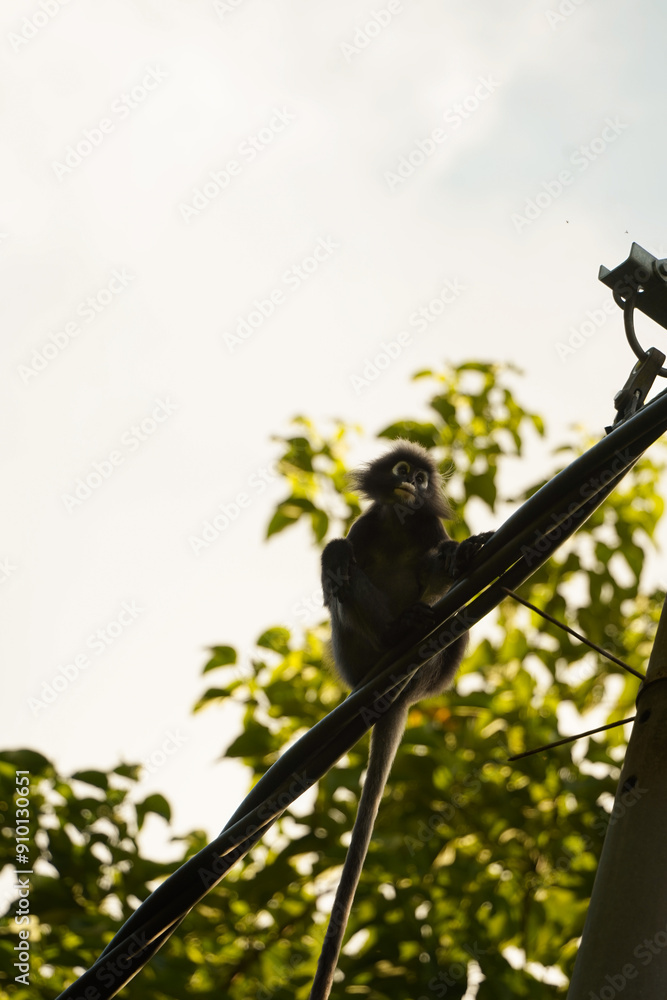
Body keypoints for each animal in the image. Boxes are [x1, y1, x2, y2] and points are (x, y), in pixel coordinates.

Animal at [309, 440, 492, 1000]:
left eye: (422, 477)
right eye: (401, 470)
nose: (411, 482)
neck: (397, 524)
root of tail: (402, 694)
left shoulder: (427, 528)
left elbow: (436, 566)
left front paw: (457, 555)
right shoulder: (367, 526)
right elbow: (344, 557)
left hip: (435, 673)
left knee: (449, 622)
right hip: (352, 659)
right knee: (338, 564)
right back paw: (395, 632)